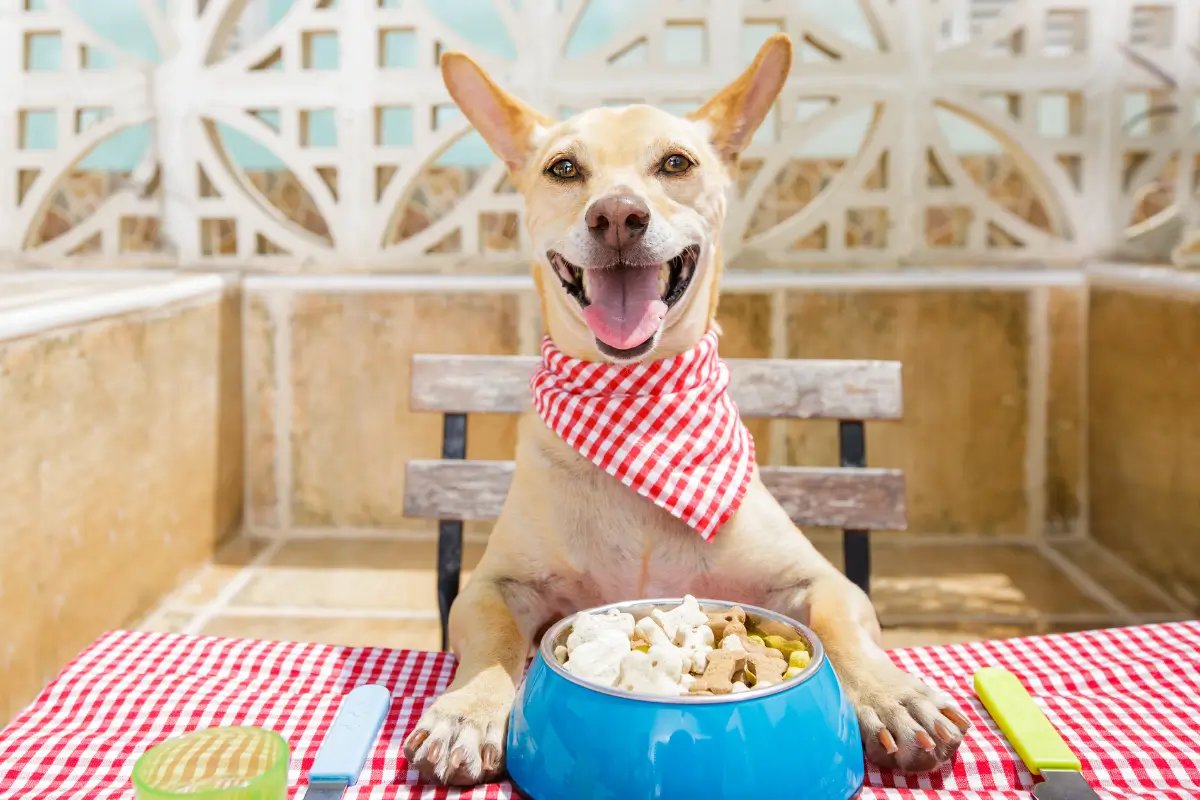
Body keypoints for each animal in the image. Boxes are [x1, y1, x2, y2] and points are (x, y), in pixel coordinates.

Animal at [408, 32, 969, 786]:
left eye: (675, 162)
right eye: (564, 168)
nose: (617, 216)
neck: (638, 408)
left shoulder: (819, 579)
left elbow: (841, 622)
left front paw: (892, 694)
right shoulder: (494, 585)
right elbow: (495, 636)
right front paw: (468, 709)